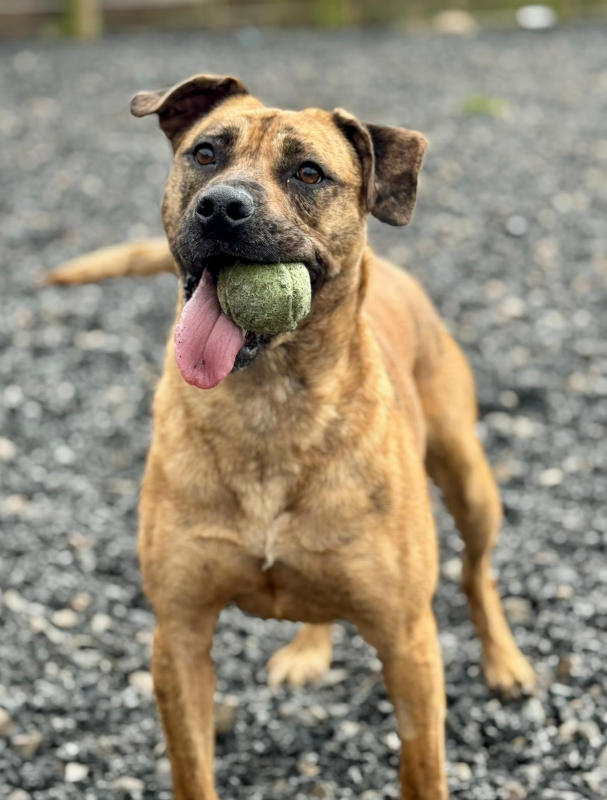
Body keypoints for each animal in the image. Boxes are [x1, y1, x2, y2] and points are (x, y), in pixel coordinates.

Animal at [47, 73, 536, 799]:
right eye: (205, 154)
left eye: (308, 172)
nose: (221, 207)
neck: (268, 404)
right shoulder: (179, 635)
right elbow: (192, 766)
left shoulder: (408, 642)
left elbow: (422, 766)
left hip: (468, 477)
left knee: (477, 573)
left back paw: (505, 662)